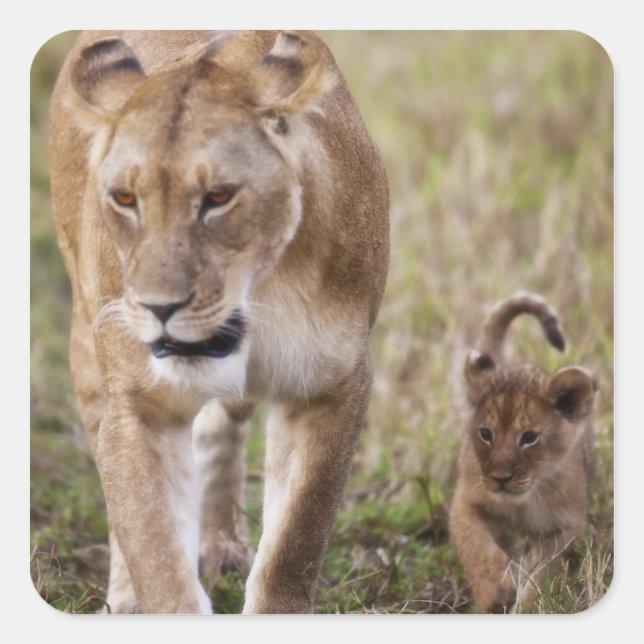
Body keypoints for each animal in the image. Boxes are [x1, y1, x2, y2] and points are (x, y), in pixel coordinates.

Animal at [47, 30, 389, 614]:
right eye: (125, 198)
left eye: (219, 197)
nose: (159, 307)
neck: (260, 293)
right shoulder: (139, 404)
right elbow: (153, 546)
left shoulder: (330, 387)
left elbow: (296, 538)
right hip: (88, 347)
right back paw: (124, 598)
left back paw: (221, 545)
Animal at [448, 292, 595, 613]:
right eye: (485, 434)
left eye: (528, 438)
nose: (501, 478)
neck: (522, 503)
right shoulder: (466, 501)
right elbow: (475, 545)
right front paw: (496, 590)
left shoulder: (564, 527)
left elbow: (543, 575)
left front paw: (526, 605)